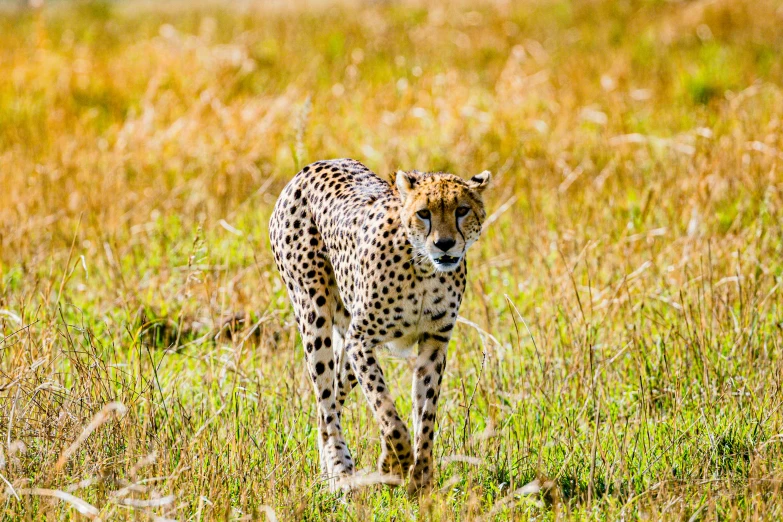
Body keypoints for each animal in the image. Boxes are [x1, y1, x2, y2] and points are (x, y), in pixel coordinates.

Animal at [270, 158, 490, 492]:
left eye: (462, 210)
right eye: (423, 213)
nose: (445, 244)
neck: (424, 268)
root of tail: (315, 165)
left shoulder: (434, 343)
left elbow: (425, 416)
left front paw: (421, 479)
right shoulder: (362, 340)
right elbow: (386, 409)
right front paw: (394, 464)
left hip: (345, 337)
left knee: (332, 398)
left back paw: (328, 470)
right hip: (314, 315)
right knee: (326, 404)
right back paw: (339, 473)